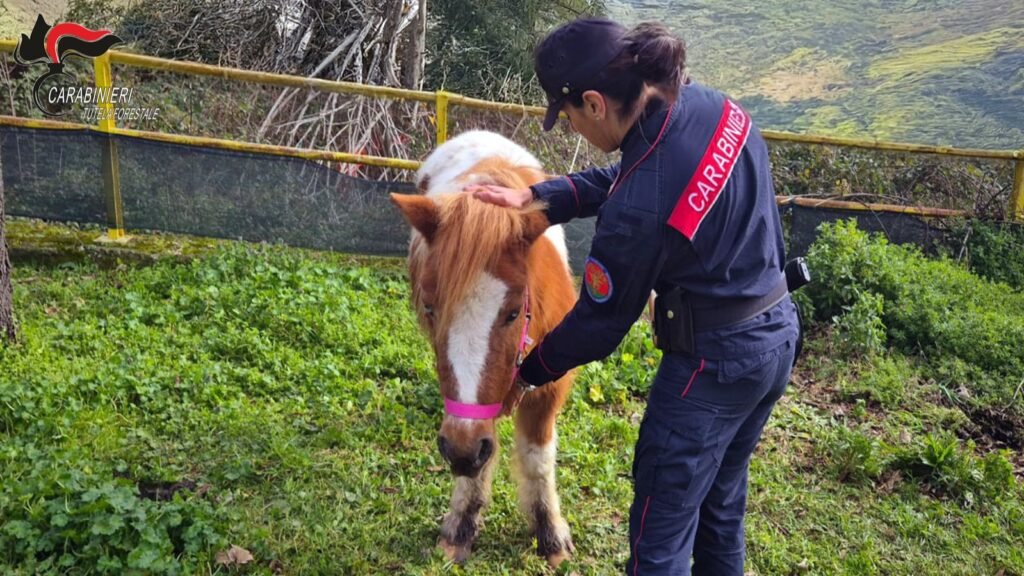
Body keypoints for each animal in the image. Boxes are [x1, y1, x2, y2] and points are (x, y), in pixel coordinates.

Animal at [389, 130, 581, 565]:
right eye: (430, 308)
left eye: (512, 313)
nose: (459, 450)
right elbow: (479, 462)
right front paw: (460, 527)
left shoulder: (549, 386)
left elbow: (537, 460)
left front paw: (551, 533)